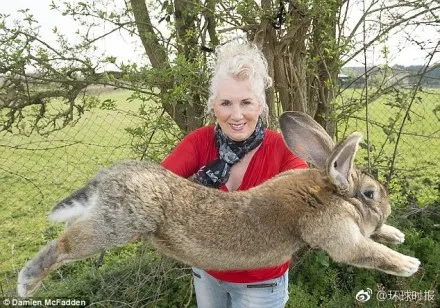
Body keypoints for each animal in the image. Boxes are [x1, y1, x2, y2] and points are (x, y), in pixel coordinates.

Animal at [17, 110, 422, 296]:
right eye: (370, 194)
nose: (385, 208)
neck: (325, 192)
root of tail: (107, 178)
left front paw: (397, 234)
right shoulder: (339, 235)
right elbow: (366, 252)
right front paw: (409, 264)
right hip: (115, 225)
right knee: (63, 245)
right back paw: (26, 283)